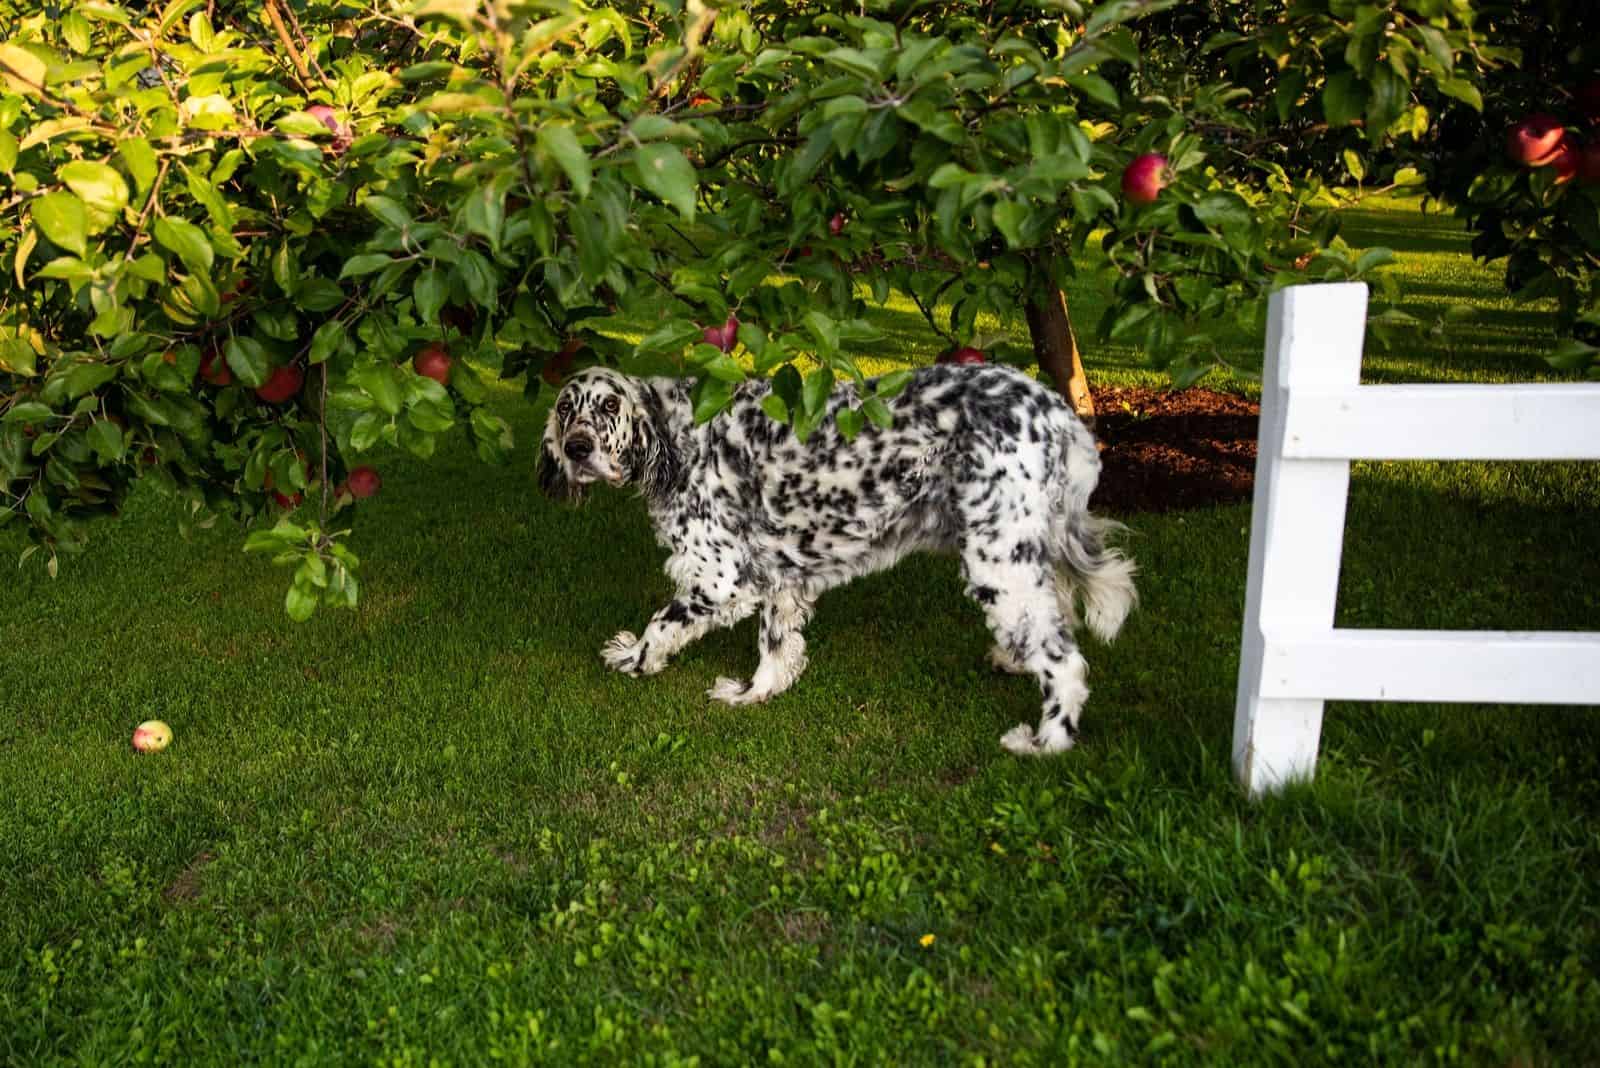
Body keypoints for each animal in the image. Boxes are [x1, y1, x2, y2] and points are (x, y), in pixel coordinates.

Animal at [540, 362, 1139, 754]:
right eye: (566, 408)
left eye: (609, 405)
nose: (576, 449)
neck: (680, 435)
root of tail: (1058, 413)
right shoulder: (776, 579)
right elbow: (775, 648)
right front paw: (754, 693)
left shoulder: (721, 579)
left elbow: (661, 625)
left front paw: (633, 660)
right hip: (1023, 552)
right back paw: (1013, 659)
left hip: (998, 562)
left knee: (1064, 662)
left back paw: (1045, 740)